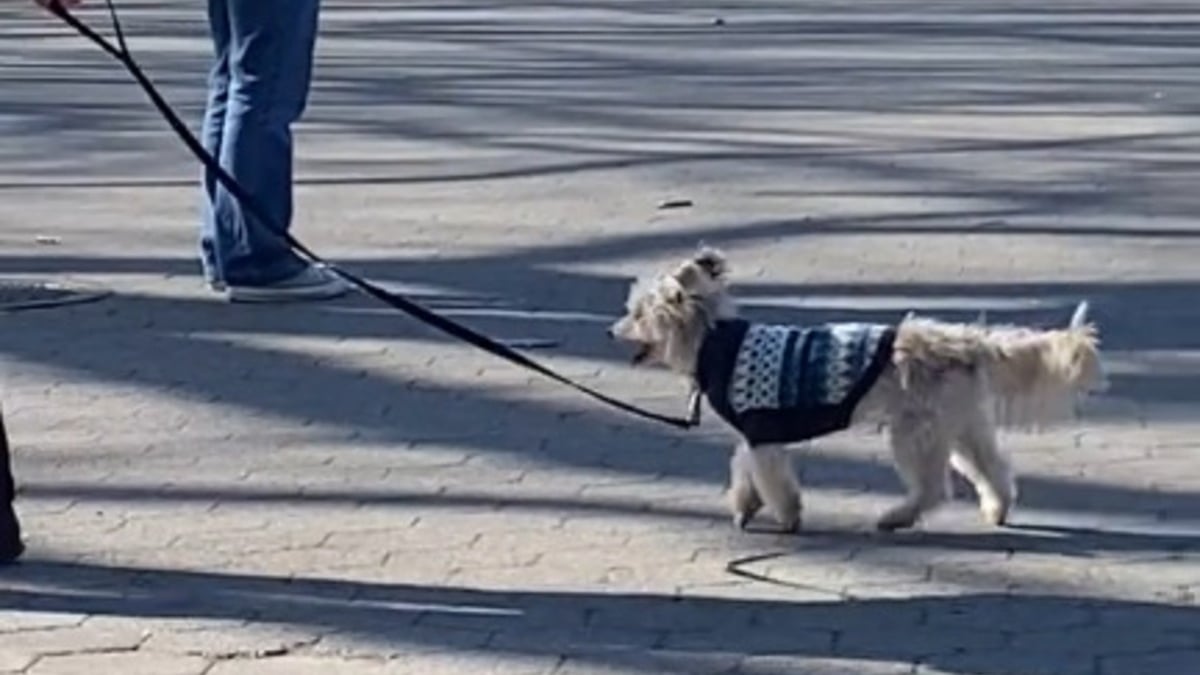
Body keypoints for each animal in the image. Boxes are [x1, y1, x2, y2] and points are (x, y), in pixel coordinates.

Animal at [609, 247, 1104, 530]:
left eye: (636, 313)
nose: (613, 331)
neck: (714, 339)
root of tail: (964, 341)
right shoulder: (756, 436)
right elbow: (743, 468)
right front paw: (745, 505)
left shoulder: (762, 433)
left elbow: (771, 479)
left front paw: (786, 516)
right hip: (961, 425)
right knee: (993, 469)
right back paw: (997, 509)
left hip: (915, 431)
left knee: (932, 488)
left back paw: (896, 517)